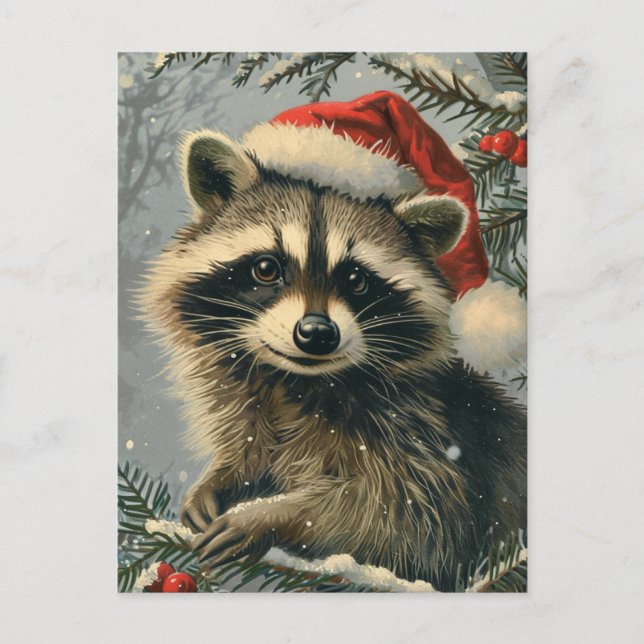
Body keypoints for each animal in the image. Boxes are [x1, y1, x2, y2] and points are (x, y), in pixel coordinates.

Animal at [141, 129, 527, 591]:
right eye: (267, 268)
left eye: (357, 279)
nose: (317, 333)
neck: (293, 382)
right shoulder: (242, 396)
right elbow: (247, 445)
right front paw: (222, 476)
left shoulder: (424, 437)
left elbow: (404, 520)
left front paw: (271, 515)